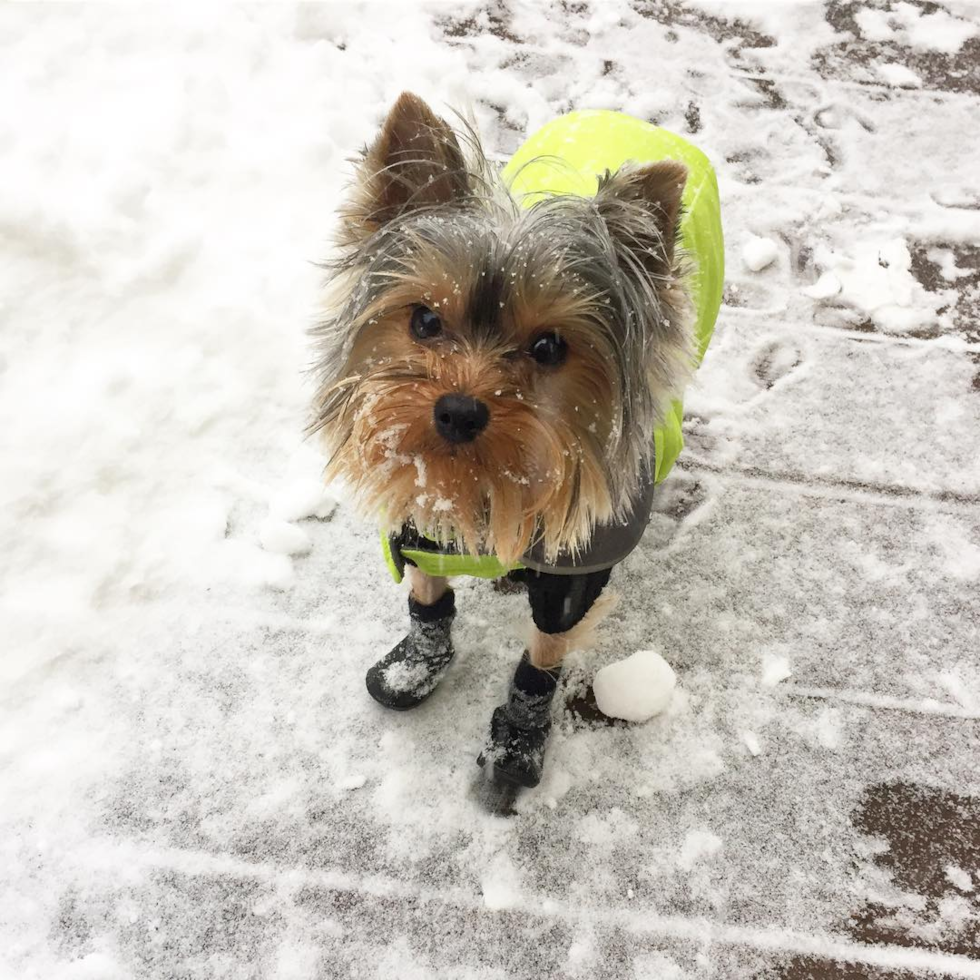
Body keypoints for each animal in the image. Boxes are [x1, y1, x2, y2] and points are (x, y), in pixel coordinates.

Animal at [310, 92, 724, 792]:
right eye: (425, 320)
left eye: (549, 347)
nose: (457, 411)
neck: (481, 479)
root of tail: (628, 118)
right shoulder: (419, 514)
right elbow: (427, 595)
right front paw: (415, 665)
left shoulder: (575, 572)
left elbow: (545, 650)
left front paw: (520, 737)